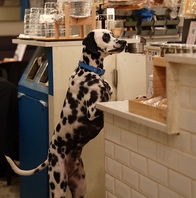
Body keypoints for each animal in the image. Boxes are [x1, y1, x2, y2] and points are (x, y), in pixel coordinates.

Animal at [5, 29, 127, 198]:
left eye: (112, 34)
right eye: (105, 37)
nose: (124, 42)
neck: (90, 71)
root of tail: (50, 155)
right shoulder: (93, 110)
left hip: (80, 187)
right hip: (58, 186)